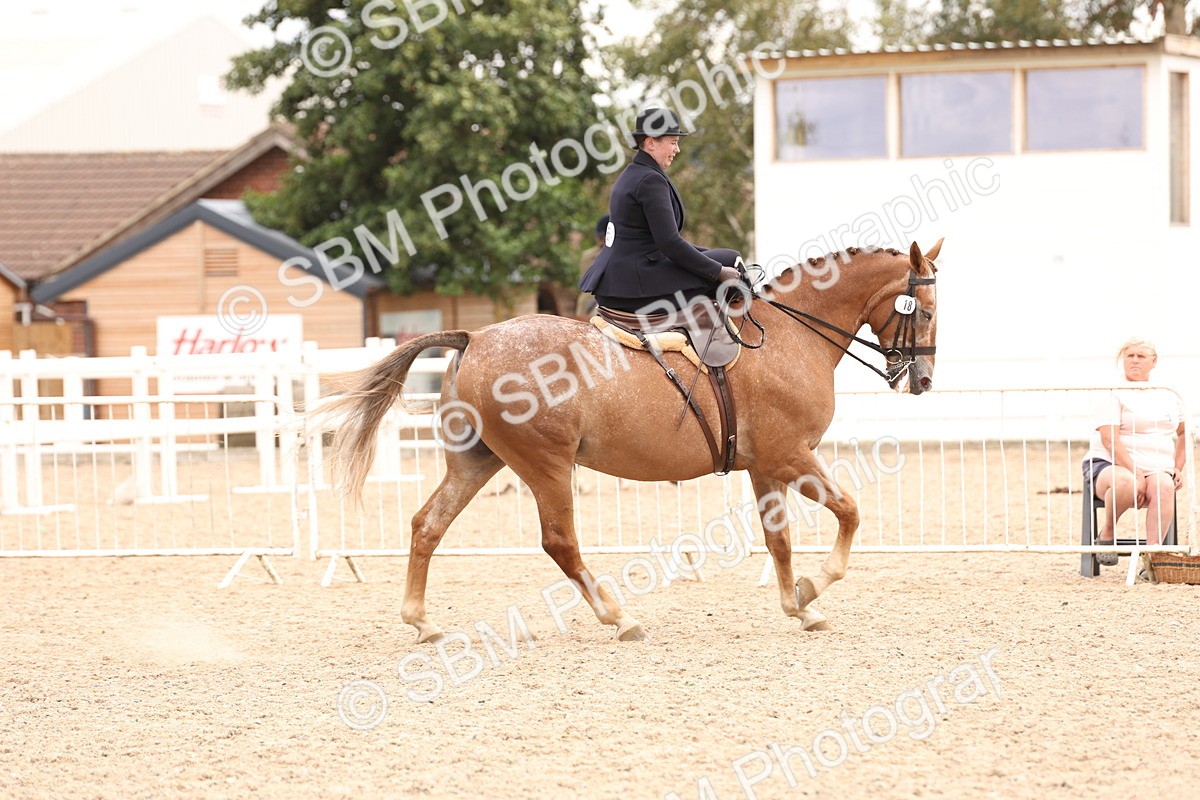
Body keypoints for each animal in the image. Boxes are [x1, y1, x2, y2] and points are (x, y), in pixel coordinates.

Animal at [324, 239, 942, 642]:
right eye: (927, 311)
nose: (922, 381)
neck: (791, 335)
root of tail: (472, 338)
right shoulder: (790, 456)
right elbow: (850, 511)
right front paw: (816, 588)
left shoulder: (765, 465)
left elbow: (780, 540)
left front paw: (798, 607)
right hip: (545, 464)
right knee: (560, 543)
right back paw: (619, 618)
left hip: (477, 462)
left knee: (427, 524)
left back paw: (422, 622)